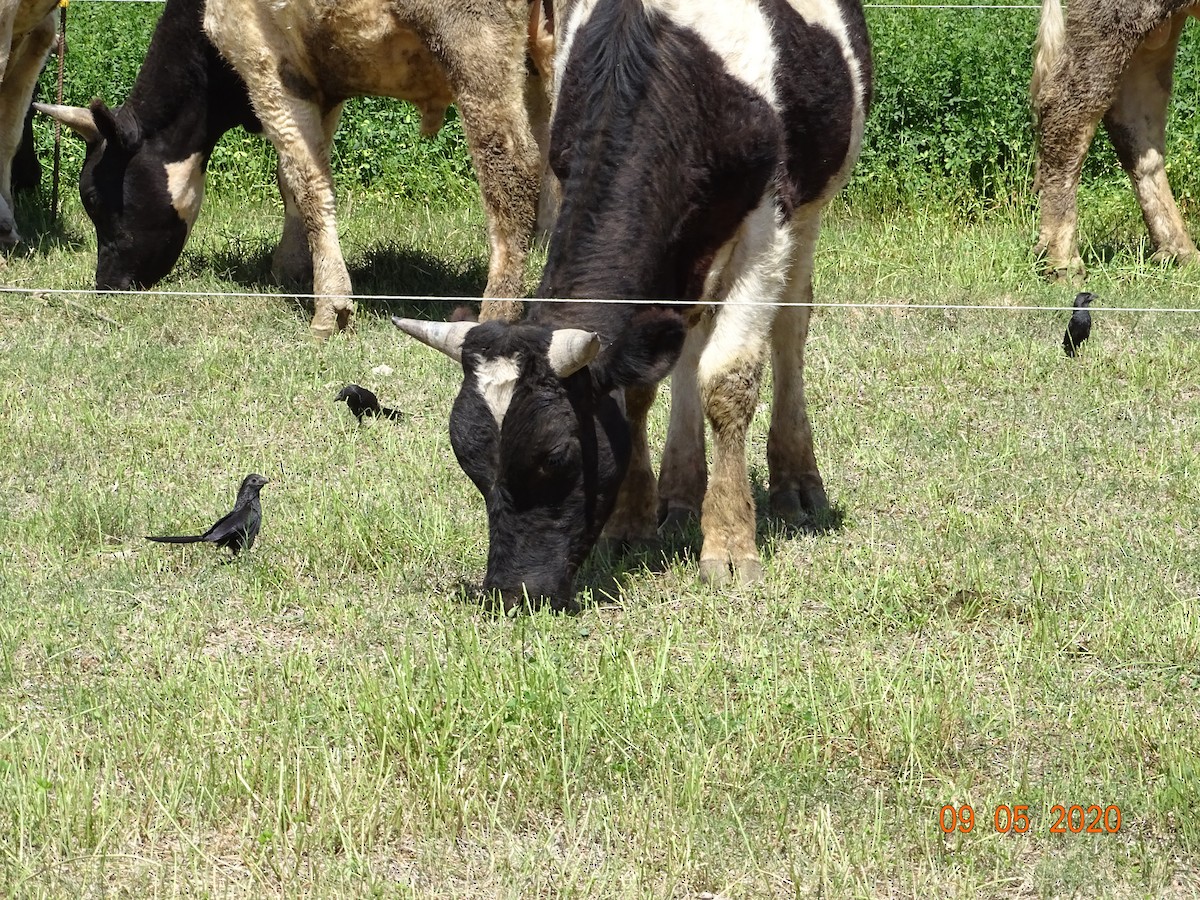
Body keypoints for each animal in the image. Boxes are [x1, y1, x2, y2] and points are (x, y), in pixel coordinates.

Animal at [38, 0, 549, 336]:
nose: (106, 285)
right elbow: (294, 178)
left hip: (474, 38)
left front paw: (329, 306)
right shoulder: (319, 83)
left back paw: (495, 315)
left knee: (515, 169)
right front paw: (291, 267)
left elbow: (305, 181)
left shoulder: (263, 60)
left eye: (95, 200)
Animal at [393, 0, 873, 614]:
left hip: (809, 208)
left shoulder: (769, 220)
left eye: (559, 456)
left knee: (790, 325)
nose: (512, 591)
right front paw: (633, 521)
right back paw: (681, 493)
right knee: (686, 343)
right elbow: (640, 385)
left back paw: (795, 482)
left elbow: (729, 381)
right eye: (470, 461)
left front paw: (730, 544)